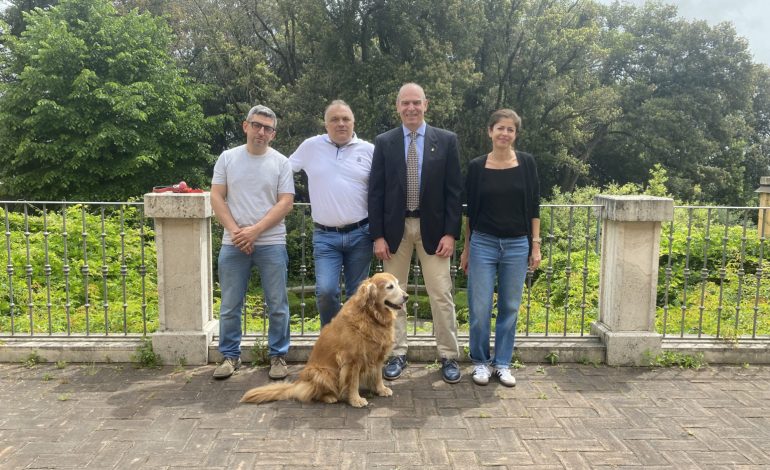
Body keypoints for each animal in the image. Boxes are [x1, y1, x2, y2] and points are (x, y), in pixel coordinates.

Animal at [240, 272, 408, 408]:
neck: (371, 315)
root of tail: (299, 383)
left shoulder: (378, 354)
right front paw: (356, 400)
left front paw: (381, 389)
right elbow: (353, 382)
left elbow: (378, 375)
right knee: (314, 393)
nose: (406, 296)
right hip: (322, 373)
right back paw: (330, 397)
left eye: (398, 283)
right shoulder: (353, 359)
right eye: (390, 287)